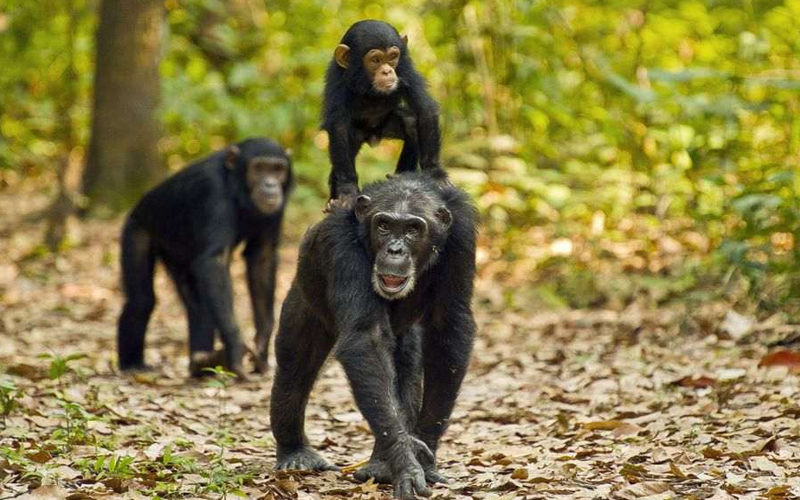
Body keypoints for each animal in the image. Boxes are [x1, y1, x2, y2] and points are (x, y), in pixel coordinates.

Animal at [117, 137, 292, 378]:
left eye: (277, 169)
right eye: (259, 168)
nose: (270, 185)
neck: (237, 189)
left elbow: (262, 259)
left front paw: (262, 348)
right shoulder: (213, 191)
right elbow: (214, 262)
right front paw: (236, 349)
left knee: (199, 308)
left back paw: (202, 364)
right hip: (137, 227)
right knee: (141, 301)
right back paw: (133, 364)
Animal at [272, 170, 478, 498]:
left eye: (412, 229)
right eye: (383, 226)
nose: (395, 249)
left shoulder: (462, 237)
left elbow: (449, 329)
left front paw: (423, 452)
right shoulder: (340, 245)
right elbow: (367, 338)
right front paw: (405, 460)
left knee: (405, 371)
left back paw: (380, 465)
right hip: (303, 299)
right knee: (297, 367)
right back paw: (296, 453)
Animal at [322, 20, 440, 208]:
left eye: (392, 57)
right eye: (375, 60)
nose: (387, 71)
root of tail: (373, 135)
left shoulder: (405, 69)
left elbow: (425, 108)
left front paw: (435, 173)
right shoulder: (337, 78)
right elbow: (338, 126)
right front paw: (347, 190)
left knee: (411, 124)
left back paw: (401, 176)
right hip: (356, 135)